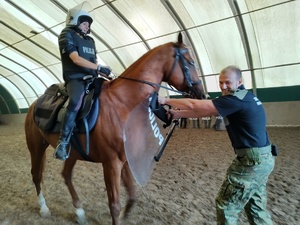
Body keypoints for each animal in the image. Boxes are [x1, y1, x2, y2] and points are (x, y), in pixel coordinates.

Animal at [24, 32, 205, 225]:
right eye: (190, 62)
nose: (202, 94)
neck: (123, 104)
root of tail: (34, 104)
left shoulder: (124, 160)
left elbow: (132, 195)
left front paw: (126, 213)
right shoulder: (111, 163)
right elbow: (114, 205)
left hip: (72, 153)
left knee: (66, 175)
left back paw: (79, 212)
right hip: (36, 147)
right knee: (36, 175)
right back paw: (44, 208)